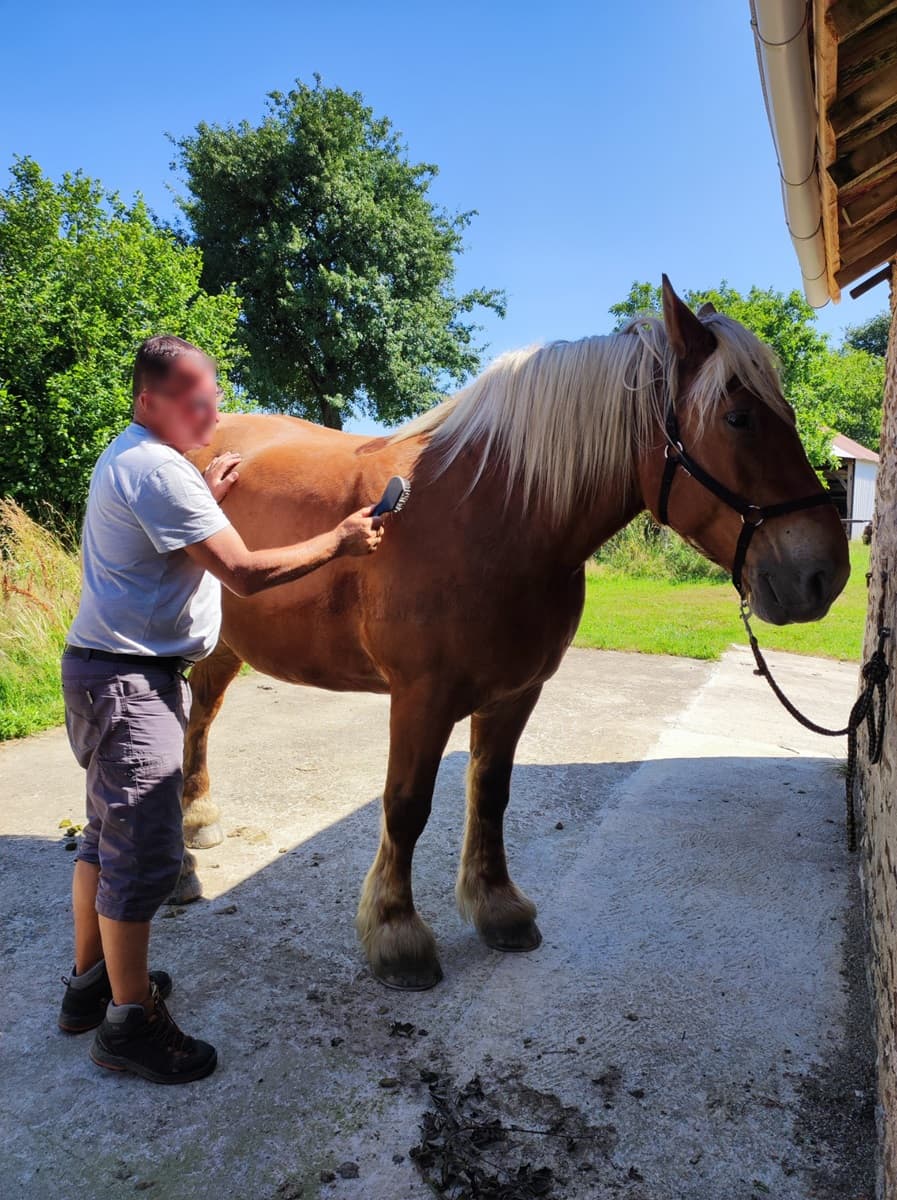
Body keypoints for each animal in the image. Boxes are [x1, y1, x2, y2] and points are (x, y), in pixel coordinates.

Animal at [175, 276, 850, 990]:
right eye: (739, 418)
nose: (824, 575)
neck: (497, 513)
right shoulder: (421, 698)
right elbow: (406, 807)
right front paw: (396, 933)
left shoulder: (516, 692)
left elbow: (491, 795)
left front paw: (496, 908)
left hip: (225, 643)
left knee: (203, 712)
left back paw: (198, 817)